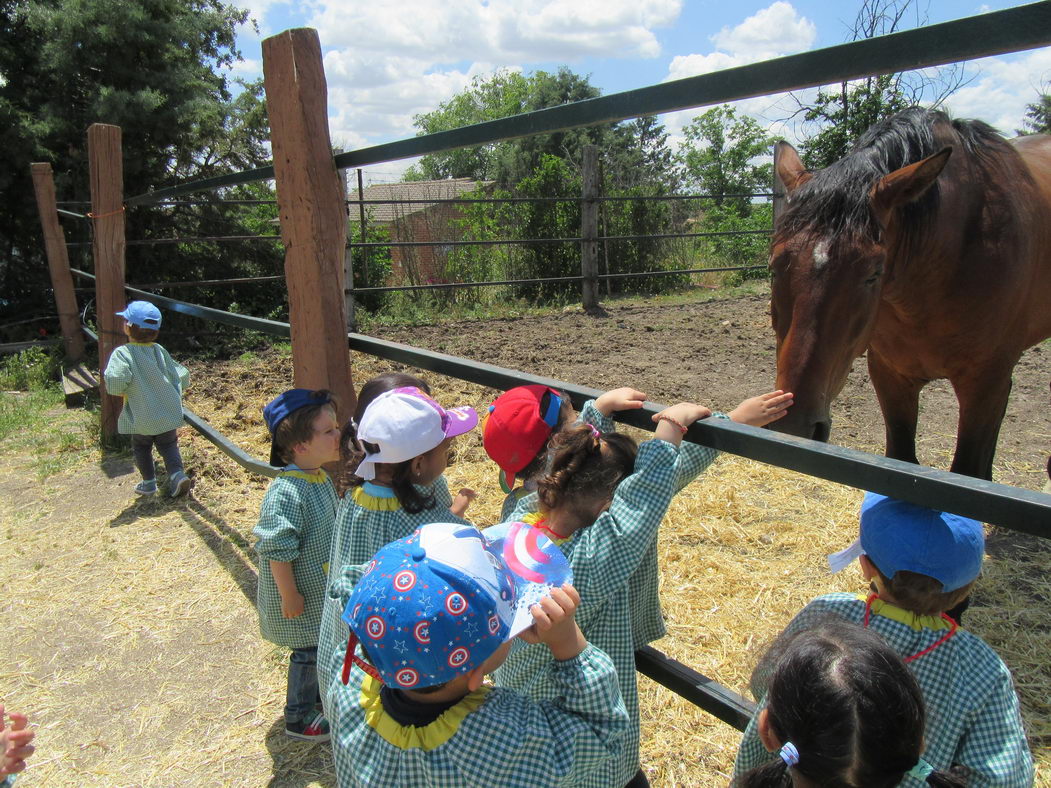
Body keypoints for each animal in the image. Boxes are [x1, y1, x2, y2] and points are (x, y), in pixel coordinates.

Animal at [769, 108, 1046, 481]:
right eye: (773, 267)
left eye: (873, 273)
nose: (792, 427)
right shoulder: (890, 375)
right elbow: (901, 458)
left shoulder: (988, 384)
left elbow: (969, 470)